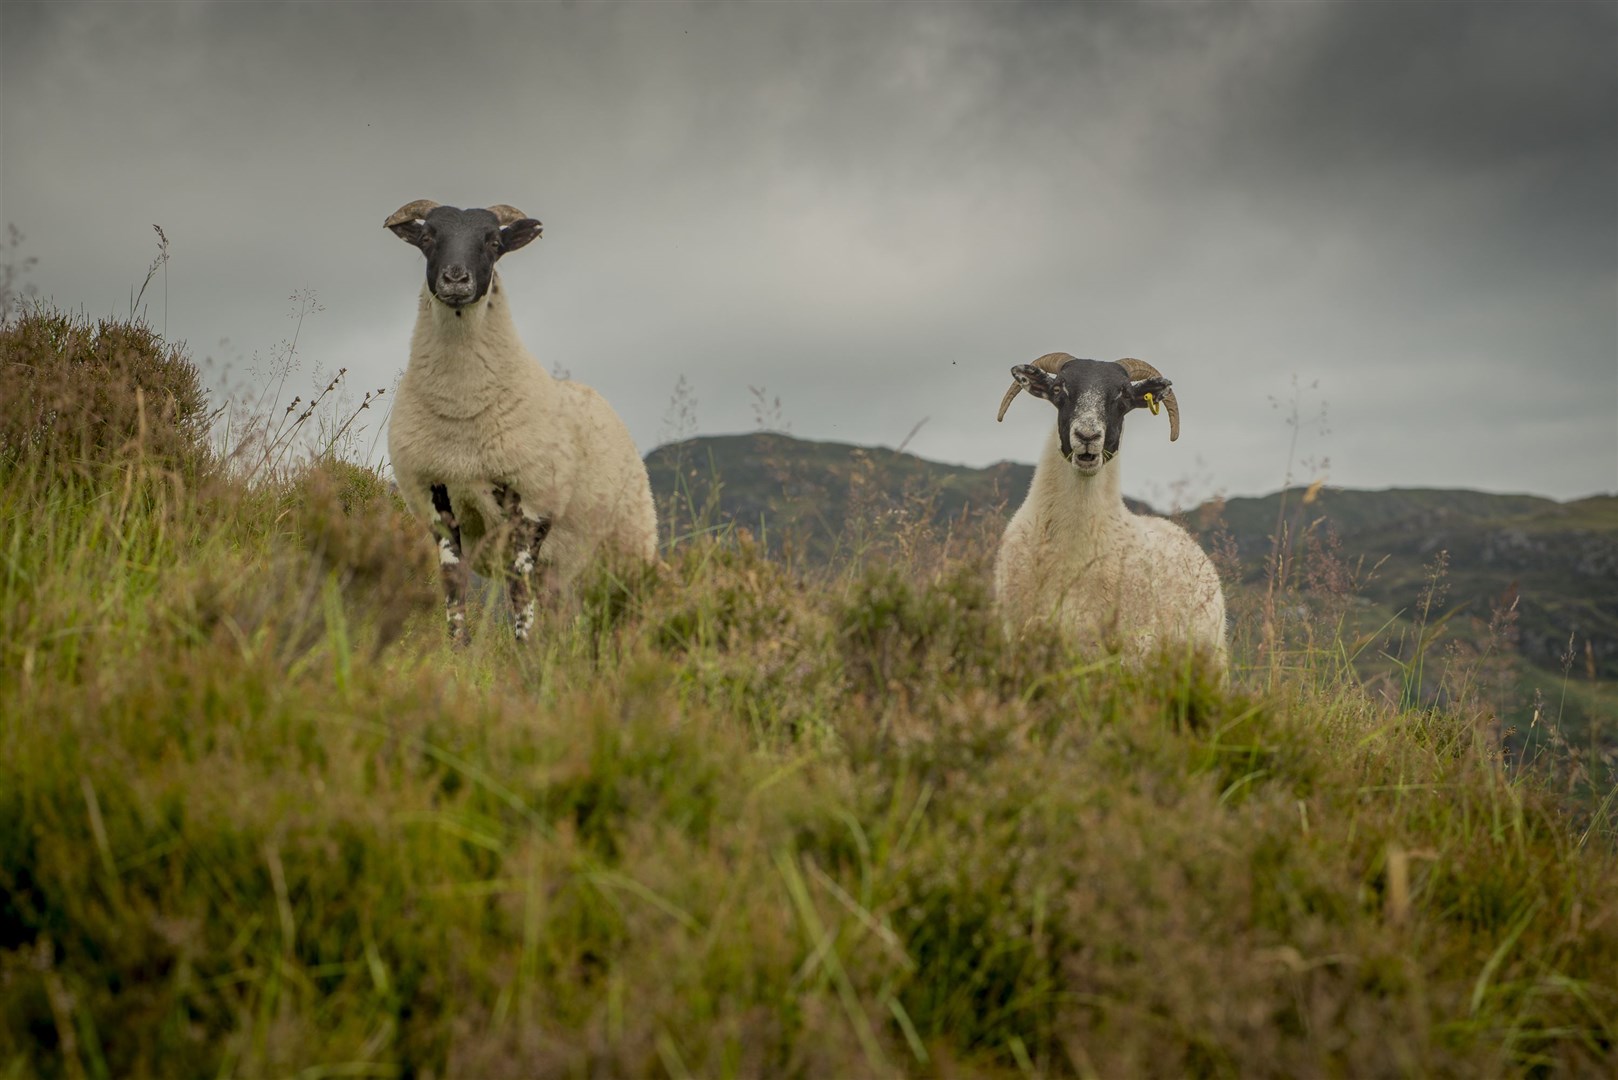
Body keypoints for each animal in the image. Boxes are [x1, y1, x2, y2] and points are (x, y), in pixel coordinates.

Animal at [381, 199, 653, 647]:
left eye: (494, 242)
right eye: (428, 237)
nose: (456, 278)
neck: (462, 411)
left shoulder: (532, 502)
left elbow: (518, 590)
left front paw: (524, 649)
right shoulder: (436, 496)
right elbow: (453, 583)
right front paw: (459, 649)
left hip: (629, 543)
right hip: (564, 564)